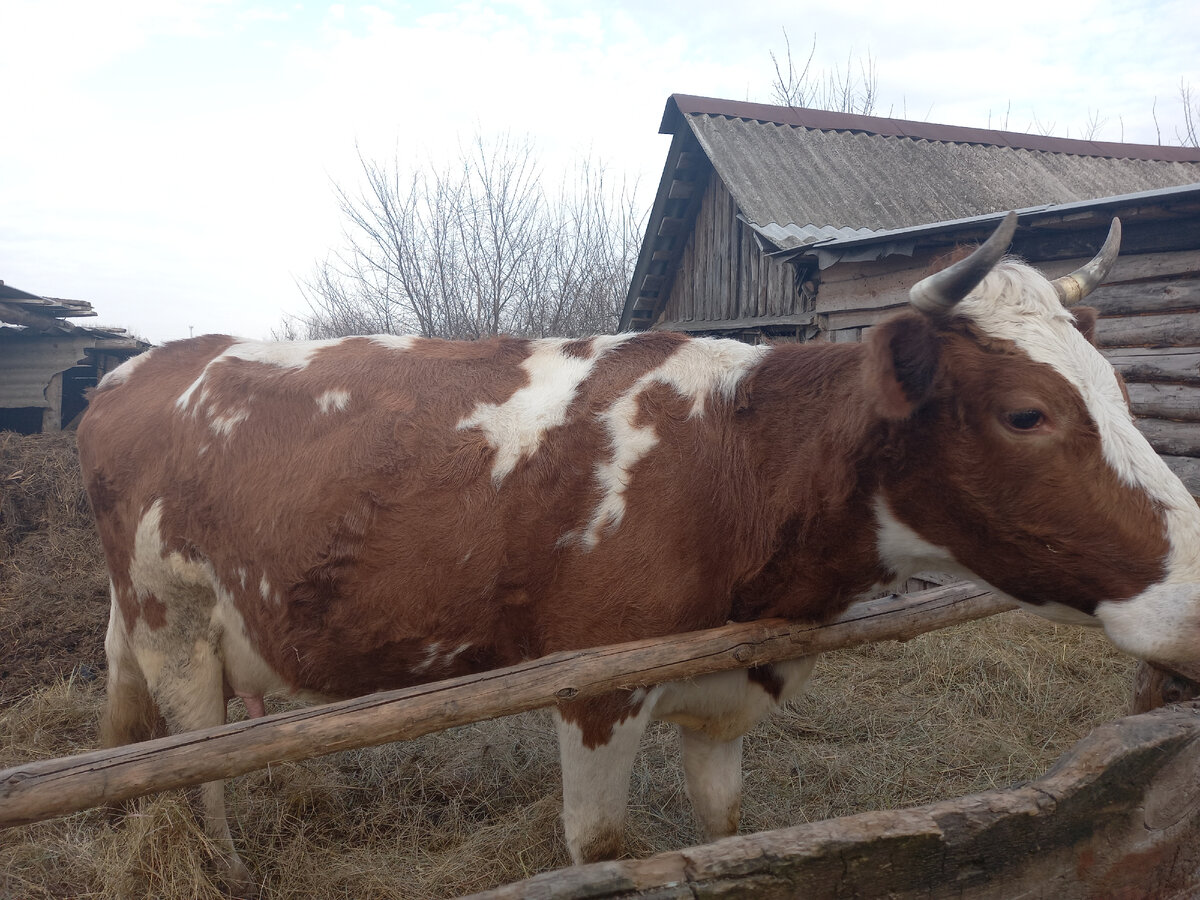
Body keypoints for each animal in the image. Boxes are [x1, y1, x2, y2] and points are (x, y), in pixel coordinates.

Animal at [75, 213, 1200, 897]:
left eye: (1119, 386)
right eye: (1025, 413)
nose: (1195, 598)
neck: (737, 463)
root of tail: (141, 367)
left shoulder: (730, 691)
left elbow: (731, 827)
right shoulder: (596, 688)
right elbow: (603, 849)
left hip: (142, 619)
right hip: (176, 620)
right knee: (195, 765)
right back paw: (221, 866)